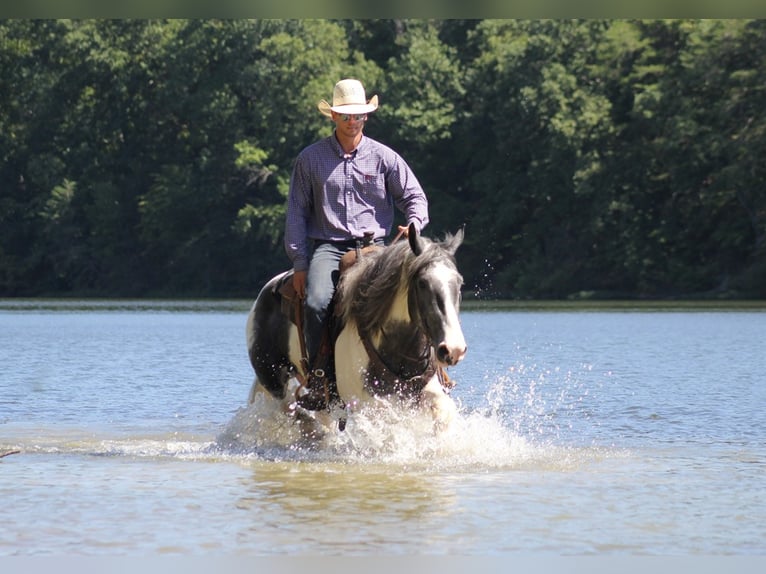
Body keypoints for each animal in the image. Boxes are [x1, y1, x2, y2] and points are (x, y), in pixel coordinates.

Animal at [246, 225, 468, 436]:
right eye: (422, 283)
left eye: (459, 283)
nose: (453, 349)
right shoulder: (368, 403)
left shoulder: (426, 389)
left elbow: (444, 414)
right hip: (272, 378)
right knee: (286, 408)